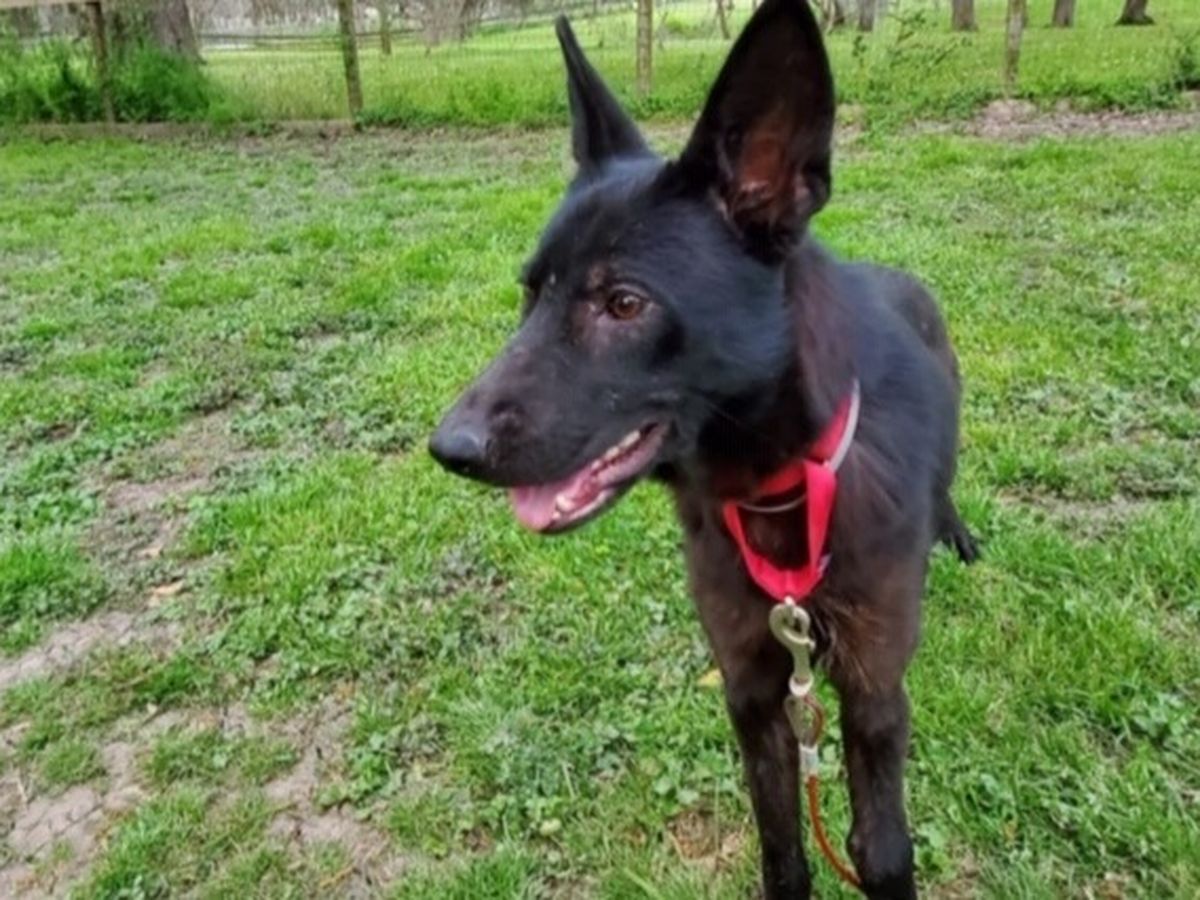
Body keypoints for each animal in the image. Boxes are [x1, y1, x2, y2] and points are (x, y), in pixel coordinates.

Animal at [430, 0, 977, 895]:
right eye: (530, 294)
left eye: (623, 303)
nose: (450, 447)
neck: (780, 493)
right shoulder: (755, 693)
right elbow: (782, 847)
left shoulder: (873, 695)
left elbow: (883, 850)